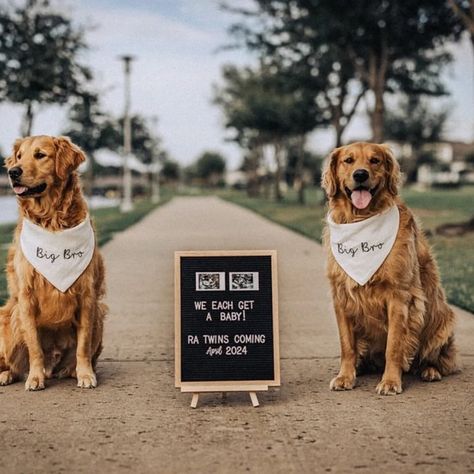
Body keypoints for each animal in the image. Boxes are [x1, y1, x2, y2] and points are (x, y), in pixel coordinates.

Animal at [0, 135, 105, 390]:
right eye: (19, 156)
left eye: (40, 155)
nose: (12, 172)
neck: (53, 221)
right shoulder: (26, 298)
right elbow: (35, 347)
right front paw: (35, 377)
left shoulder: (87, 296)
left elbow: (83, 345)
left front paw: (85, 374)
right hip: (9, 317)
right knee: (11, 363)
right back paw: (9, 375)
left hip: (100, 314)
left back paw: (71, 371)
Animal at [322, 142, 460, 396]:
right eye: (348, 160)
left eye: (375, 160)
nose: (360, 174)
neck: (361, 219)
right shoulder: (341, 295)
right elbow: (347, 345)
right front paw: (345, 376)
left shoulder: (399, 296)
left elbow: (394, 346)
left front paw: (390, 381)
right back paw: (361, 366)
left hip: (442, 321)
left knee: (438, 359)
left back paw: (430, 370)